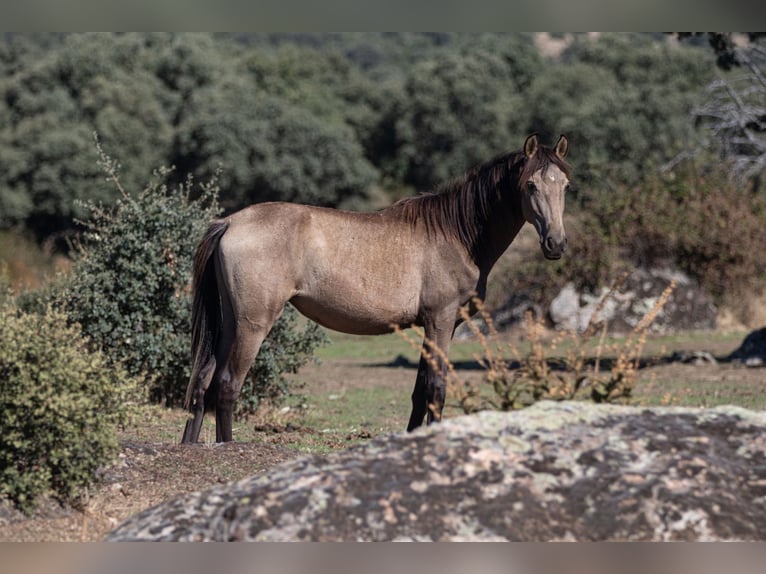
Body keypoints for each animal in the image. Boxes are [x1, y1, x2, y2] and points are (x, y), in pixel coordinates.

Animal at [182, 135, 568, 446]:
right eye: (531, 185)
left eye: (565, 185)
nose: (556, 243)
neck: (456, 234)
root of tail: (229, 222)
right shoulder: (440, 322)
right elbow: (436, 389)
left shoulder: (430, 327)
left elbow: (419, 392)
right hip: (253, 324)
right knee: (227, 386)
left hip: (230, 323)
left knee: (202, 381)